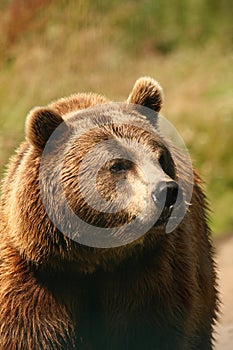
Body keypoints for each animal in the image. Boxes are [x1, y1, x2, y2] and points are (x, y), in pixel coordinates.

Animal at [0, 77, 218, 350]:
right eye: (117, 165)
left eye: (160, 157)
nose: (167, 191)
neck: (96, 257)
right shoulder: (37, 278)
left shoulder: (150, 276)